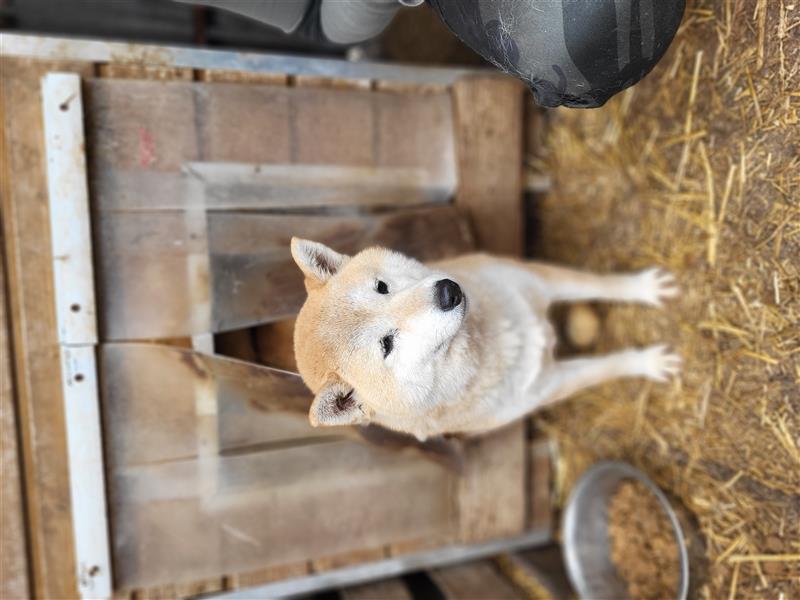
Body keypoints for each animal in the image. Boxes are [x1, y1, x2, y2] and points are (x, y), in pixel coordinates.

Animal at [290, 239, 680, 440]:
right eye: (387, 344)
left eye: (381, 287)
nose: (447, 292)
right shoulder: (550, 385)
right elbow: (608, 367)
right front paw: (647, 362)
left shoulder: (540, 279)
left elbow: (600, 284)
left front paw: (643, 288)